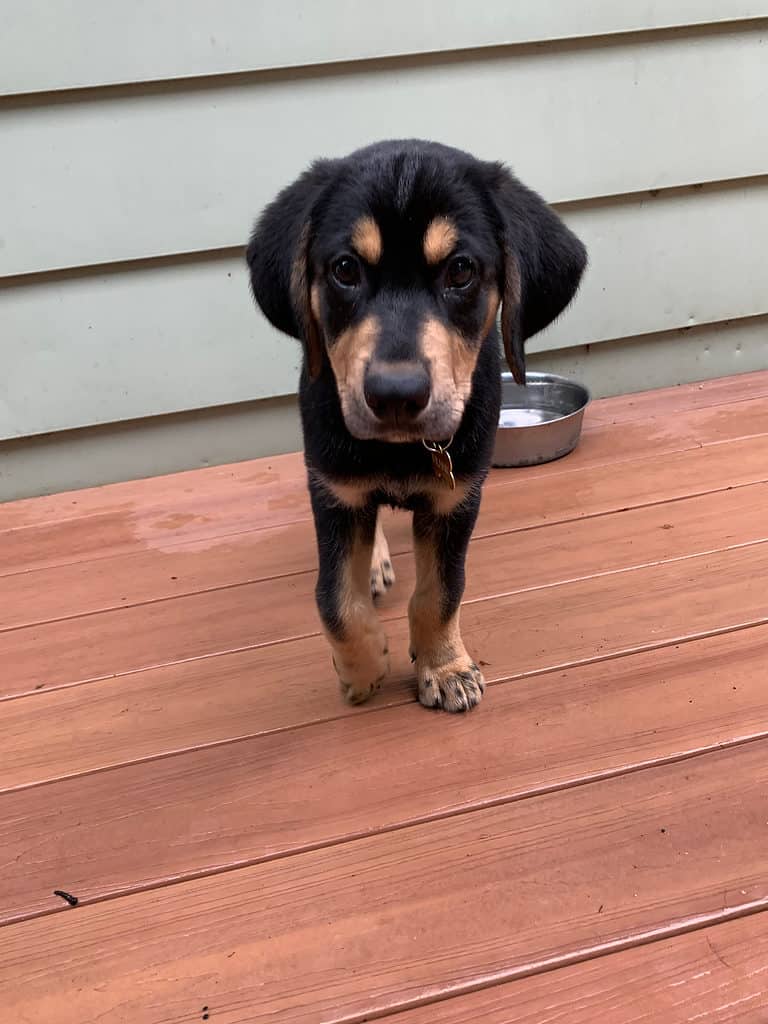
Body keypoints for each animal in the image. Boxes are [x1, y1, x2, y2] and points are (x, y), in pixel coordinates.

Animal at [249, 138, 585, 712]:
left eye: (460, 270)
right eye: (344, 269)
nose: (395, 395)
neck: (400, 449)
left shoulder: (456, 500)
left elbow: (441, 593)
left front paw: (444, 667)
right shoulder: (334, 489)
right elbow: (334, 599)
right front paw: (362, 668)